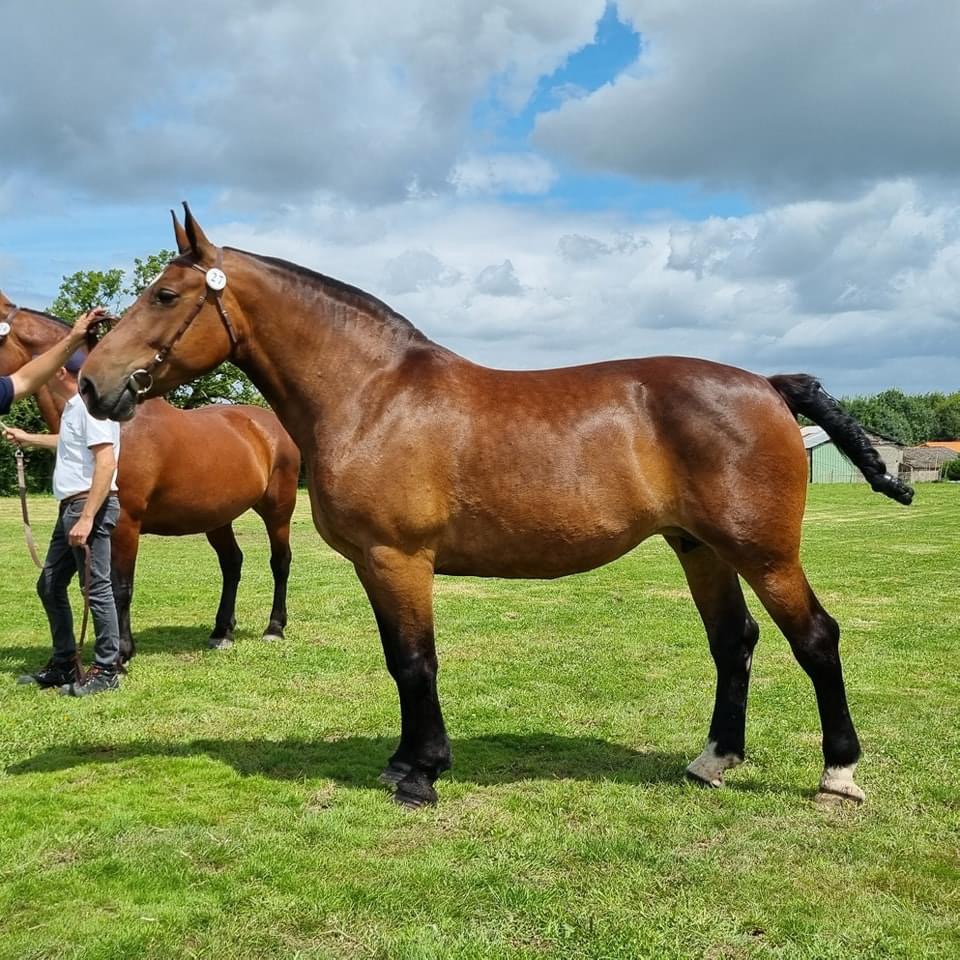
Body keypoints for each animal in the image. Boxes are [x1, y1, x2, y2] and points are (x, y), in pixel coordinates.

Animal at [0, 292, 300, 664]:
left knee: (280, 562)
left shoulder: (125, 522)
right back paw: (221, 632)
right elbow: (90, 586)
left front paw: (122, 652)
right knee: (232, 563)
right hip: (218, 518)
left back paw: (274, 628)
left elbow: (120, 586)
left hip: (278, 511)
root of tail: (273, 427)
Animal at [79, 206, 912, 808]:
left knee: (816, 640)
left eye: (165, 295)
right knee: (732, 642)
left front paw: (421, 774)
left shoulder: (400, 560)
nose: (92, 382)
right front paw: (403, 761)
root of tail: (768, 386)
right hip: (698, 547)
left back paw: (837, 775)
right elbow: (399, 662)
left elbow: (415, 662)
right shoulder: (376, 566)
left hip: (764, 552)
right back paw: (713, 759)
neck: (372, 394)